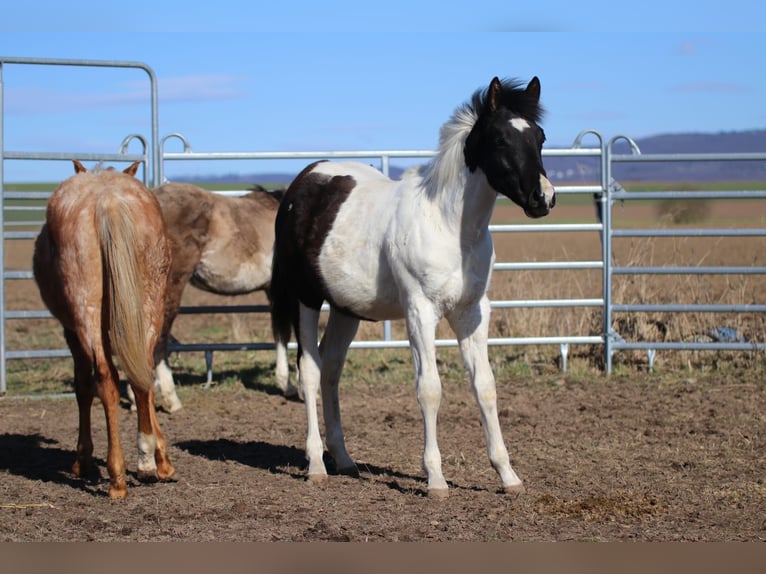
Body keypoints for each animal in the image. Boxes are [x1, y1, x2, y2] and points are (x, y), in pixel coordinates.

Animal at [32, 160, 175, 499]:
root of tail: (108, 201)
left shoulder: (70, 333)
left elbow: (83, 387)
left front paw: (82, 460)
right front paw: (158, 457)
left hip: (85, 312)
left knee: (106, 380)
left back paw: (117, 476)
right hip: (148, 306)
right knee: (142, 375)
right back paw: (150, 459)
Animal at [131, 182, 296, 413]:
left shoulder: (273, 292)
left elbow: (279, 332)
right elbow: (286, 333)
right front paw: (289, 385)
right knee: (159, 337)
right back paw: (172, 400)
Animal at [271, 76, 555, 498]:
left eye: (540, 137)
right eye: (501, 139)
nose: (544, 198)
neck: (451, 229)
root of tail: (300, 184)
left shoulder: (472, 312)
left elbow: (485, 386)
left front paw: (508, 476)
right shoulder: (420, 312)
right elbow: (429, 389)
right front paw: (435, 480)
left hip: (345, 308)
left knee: (331, 368)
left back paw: (344, 460)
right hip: (306, 297)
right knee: (309, 368)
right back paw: (317, 465)